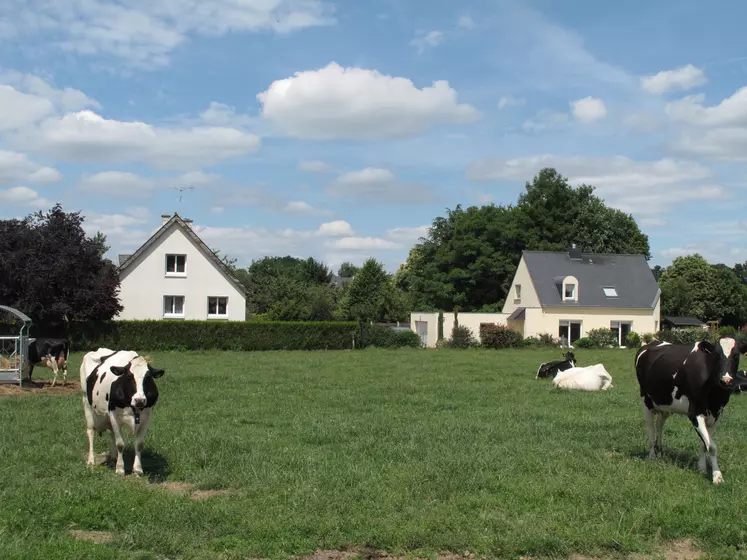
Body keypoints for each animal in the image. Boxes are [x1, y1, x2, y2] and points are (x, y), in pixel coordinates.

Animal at [636, 334, 747, 484]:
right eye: (716, 356)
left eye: (736, 356)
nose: (726, 380)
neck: (714, 394)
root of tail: (652, 343)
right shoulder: (694, 413)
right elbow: (712, 447)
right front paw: (717, 476)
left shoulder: (716, 415)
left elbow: (705, 443)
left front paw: (701, 467)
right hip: (646, 401)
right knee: (651, 428)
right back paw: (652, 454)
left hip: (665, 404)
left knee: (659, 424)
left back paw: (660, 451)